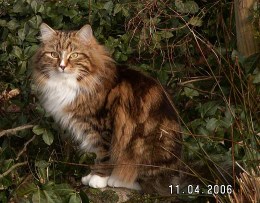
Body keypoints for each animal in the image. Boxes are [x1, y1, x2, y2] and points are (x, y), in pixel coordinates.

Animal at [32, 23, 183, 194]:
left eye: (74, 55)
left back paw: (118, 180)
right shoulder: (89, 130)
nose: (62, 66)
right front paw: (90, 175)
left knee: (148, 185)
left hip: (142, 146)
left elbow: (104, 155)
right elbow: (96, 154)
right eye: (53, 54)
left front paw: (98, 178)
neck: (70, 84)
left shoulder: (103, 126)